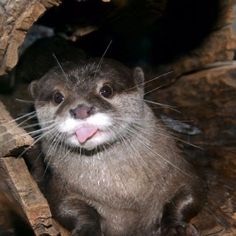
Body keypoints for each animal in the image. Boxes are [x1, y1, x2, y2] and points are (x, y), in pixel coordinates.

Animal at [29, 58, 206, 235]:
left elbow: (190, 194)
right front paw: (87, 229)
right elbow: (65, 207)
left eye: (106, 90)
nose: (81, 110)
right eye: (57, 97)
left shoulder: (178, 168)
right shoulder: (61, 187)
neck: (123, 193)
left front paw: (176, 227)